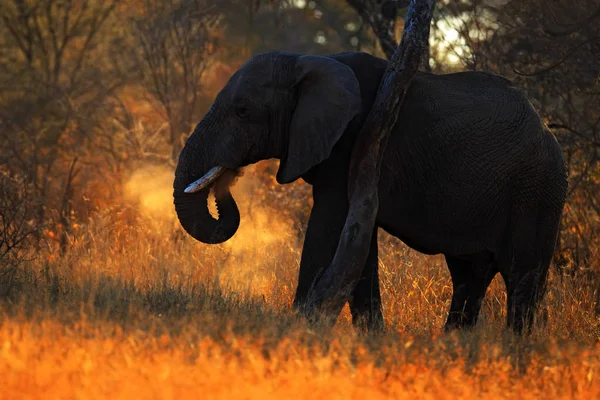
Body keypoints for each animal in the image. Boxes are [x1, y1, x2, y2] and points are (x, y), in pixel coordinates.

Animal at [172, 50, 568, 334]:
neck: (307, 60)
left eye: (242, 111)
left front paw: (299, 327)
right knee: (469, 275)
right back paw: (455, 343)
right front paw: (372, 337)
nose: (227, 178)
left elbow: (327, 228)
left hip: (537, 192)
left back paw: (514, 347)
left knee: (522, 277)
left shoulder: (354, 141)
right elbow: (359, 244)